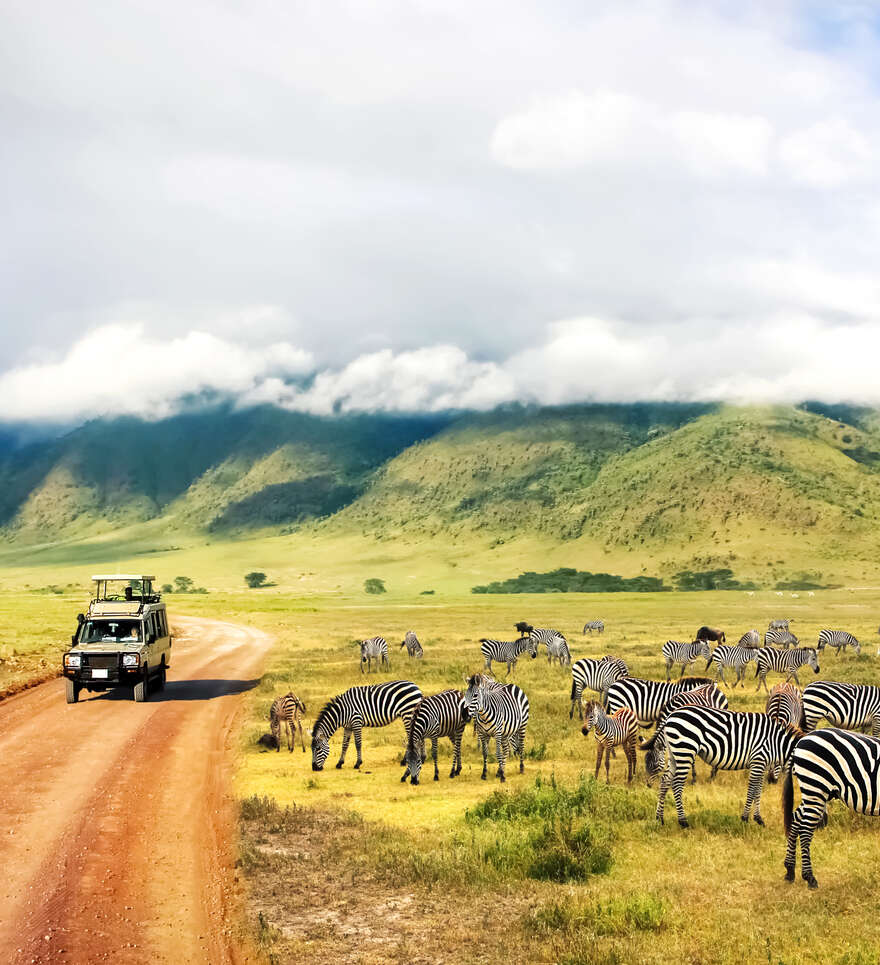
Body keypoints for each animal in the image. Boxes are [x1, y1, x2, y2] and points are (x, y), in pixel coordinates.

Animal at [652, 700, 804, 828]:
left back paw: (659, 818)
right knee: (676, 784)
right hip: (685, 749)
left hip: (674, 754)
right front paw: (745, 818)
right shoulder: (758, 760)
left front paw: (758, 818)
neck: (777, 742)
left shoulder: (762, 765)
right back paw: (683, 821)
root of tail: (671, 715)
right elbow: (752, 790)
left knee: (665, 781)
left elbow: (758, 790)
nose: (773, 780)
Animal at [784, 728, 880, 884]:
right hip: (815, 786)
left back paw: (790, 870)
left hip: (814, 793)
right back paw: (810, 877)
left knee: (796, 819)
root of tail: (800, 742)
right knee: (805, 830)